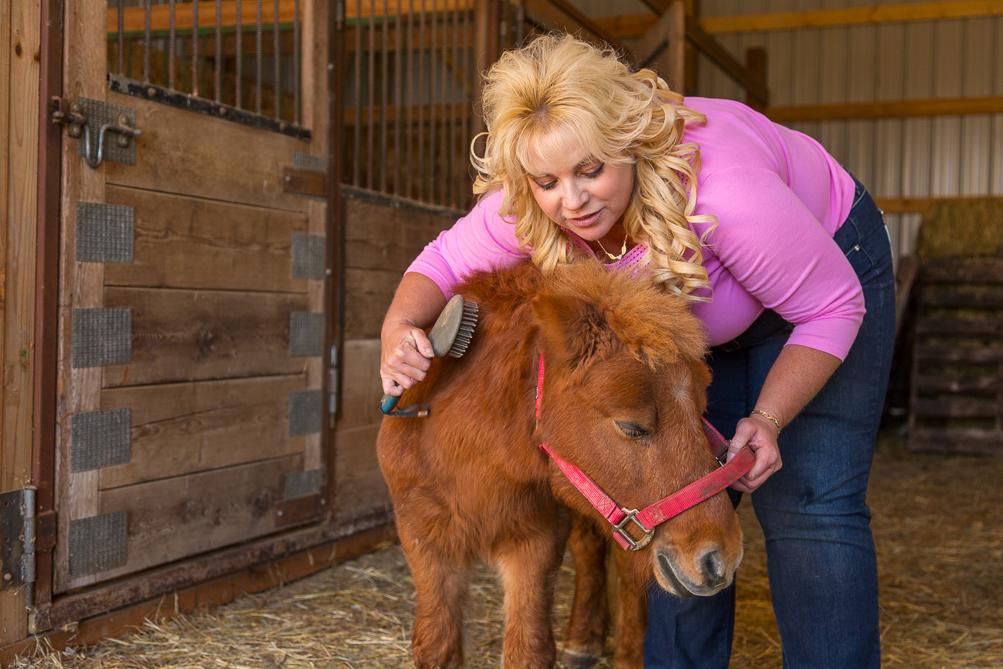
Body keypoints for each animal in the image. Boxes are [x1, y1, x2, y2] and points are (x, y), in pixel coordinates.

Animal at [377, 262, 746, 669]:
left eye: (701, 412)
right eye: (631, 426)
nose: (719, 559)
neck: (468, 455)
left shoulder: (535, 543)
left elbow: (528, 648)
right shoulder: (423, 540)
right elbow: (436, 645)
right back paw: (583, 640)